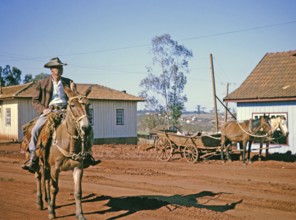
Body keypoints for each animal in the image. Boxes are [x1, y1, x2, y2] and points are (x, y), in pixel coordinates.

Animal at [21, 85, 92, 220]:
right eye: (72, 105)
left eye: (88, 104)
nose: (86, 127)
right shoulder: (55, 168)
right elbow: (54, 189)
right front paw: (51, 212)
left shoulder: (78, 168)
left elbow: (78, 192)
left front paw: (80, 214)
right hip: (38, 162)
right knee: (39, 178)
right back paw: (40, 202)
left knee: (46, 180)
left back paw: (48, 201)